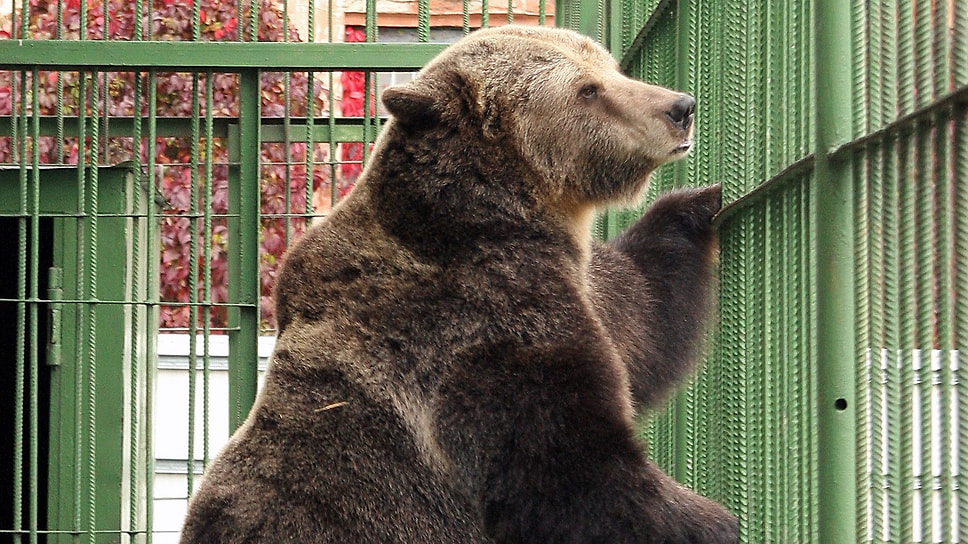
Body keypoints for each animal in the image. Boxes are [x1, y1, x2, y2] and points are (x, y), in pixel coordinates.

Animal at [182, 24, 736, 544]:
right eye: (587, 90)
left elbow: (642, 315)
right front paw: (714, 521)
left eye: (611, 68)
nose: (680, 107)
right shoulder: (474, 322)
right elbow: (563, 467)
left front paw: (699, 202)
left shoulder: (568, 282)